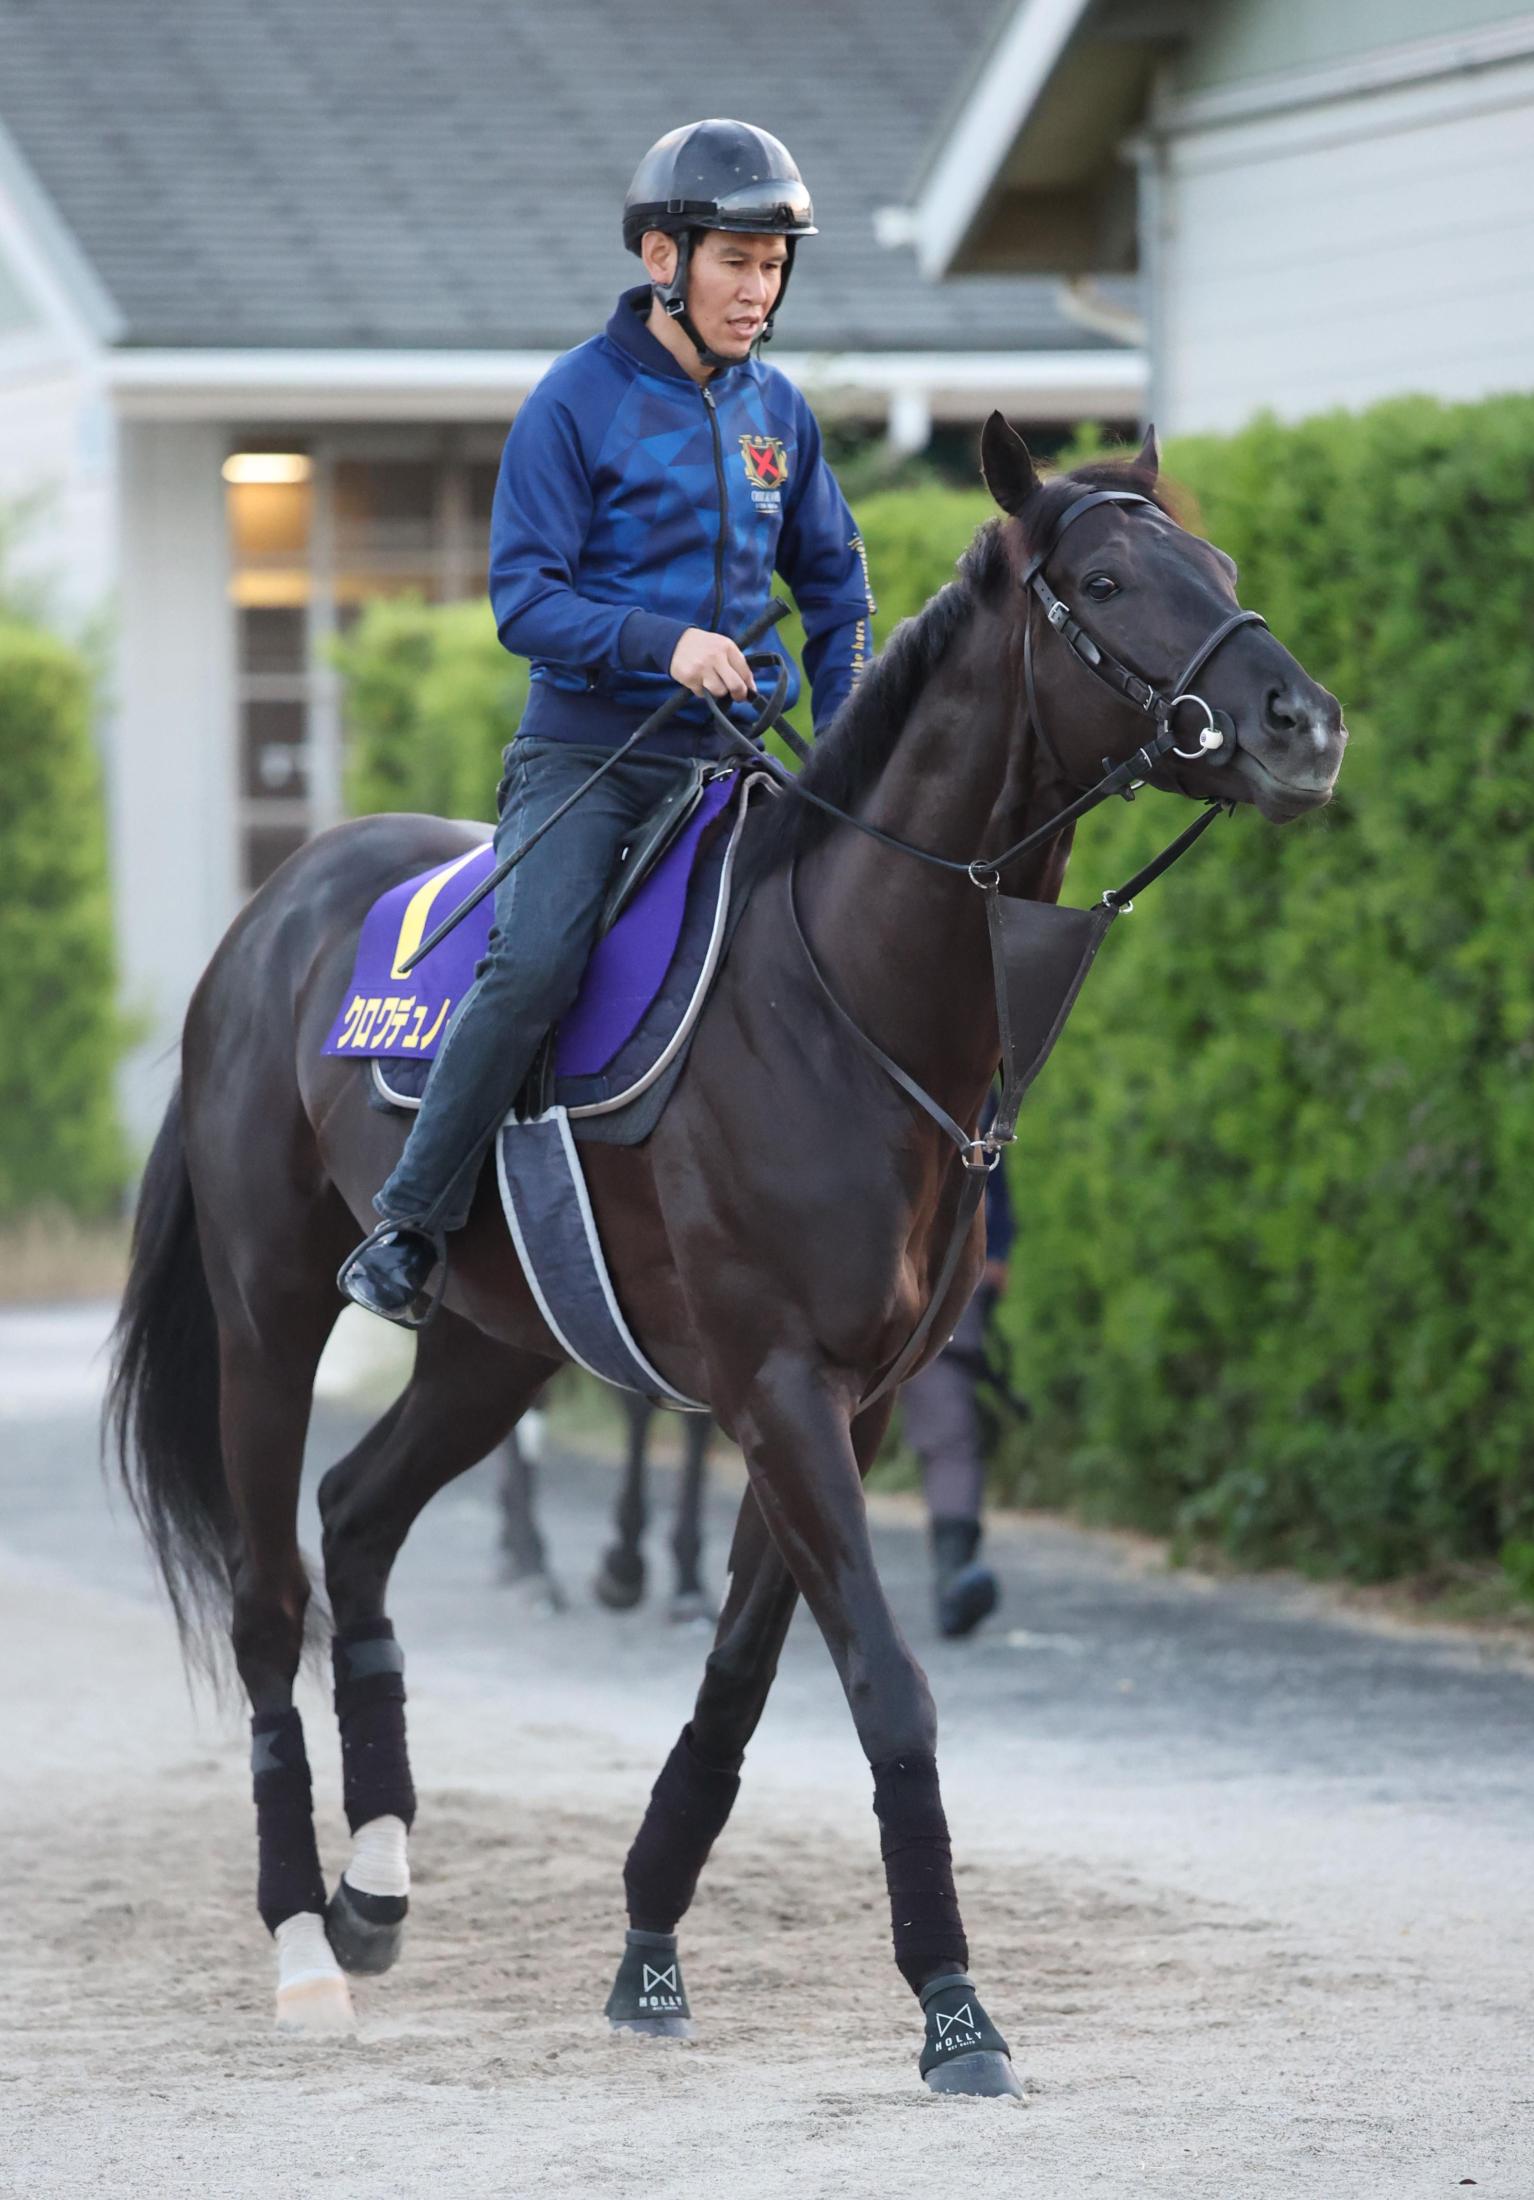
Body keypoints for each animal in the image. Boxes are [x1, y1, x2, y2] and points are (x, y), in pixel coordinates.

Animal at [107, 417, 1345, 2092]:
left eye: (1212, 564)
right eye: (1101, 582)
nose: (1302, 724)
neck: (845, 1004)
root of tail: (269, 917)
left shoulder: (849, 1403)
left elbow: (747, 1674)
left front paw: (647, 1946)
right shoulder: (774, 1387)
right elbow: (885, 1679)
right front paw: (954, 2005)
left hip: (494, 1345)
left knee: (356, 1521)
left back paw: (377, 1882)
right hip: (268, 1319)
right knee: (265, 1599)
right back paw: (305, 1940)